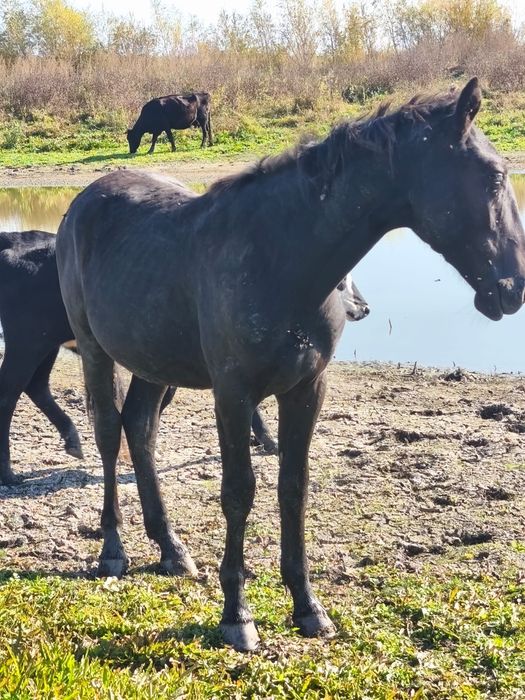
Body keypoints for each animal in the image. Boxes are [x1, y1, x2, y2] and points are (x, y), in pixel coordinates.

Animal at [0, 230, 368, 484]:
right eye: (339, 283)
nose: (364, 307)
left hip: (44, 345)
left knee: (37, 386)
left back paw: (72, 440)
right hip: (25, 344)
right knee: (10, 392)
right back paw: (9, 473)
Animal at [56, 78, 525, 651]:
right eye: (494, 176)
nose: (513, 289)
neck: (283, 258)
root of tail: (84, 201)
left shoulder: (306, 388)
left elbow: (293, 489)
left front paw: (307, 607)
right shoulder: (232, 394)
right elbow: (239, 492)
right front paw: (237, 615)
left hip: (153, 362)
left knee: (140, 430)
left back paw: (171, 549)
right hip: (96, 351)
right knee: (107, 433)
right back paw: (113, 550)